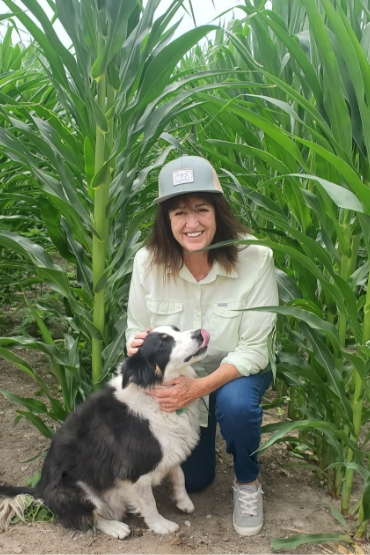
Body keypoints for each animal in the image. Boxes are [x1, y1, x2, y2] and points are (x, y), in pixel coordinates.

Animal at [0, 326, 210, 540]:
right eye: (163, 343)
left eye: (177, 329)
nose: (199, 333)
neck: (151, 392)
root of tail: (40, 489)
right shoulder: (135, 471)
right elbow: (149, 503)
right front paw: (160, 525)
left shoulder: (169, 448)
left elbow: (179, 475)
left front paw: (183, 501)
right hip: (76, 488)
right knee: (90, 518)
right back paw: (116, 527)